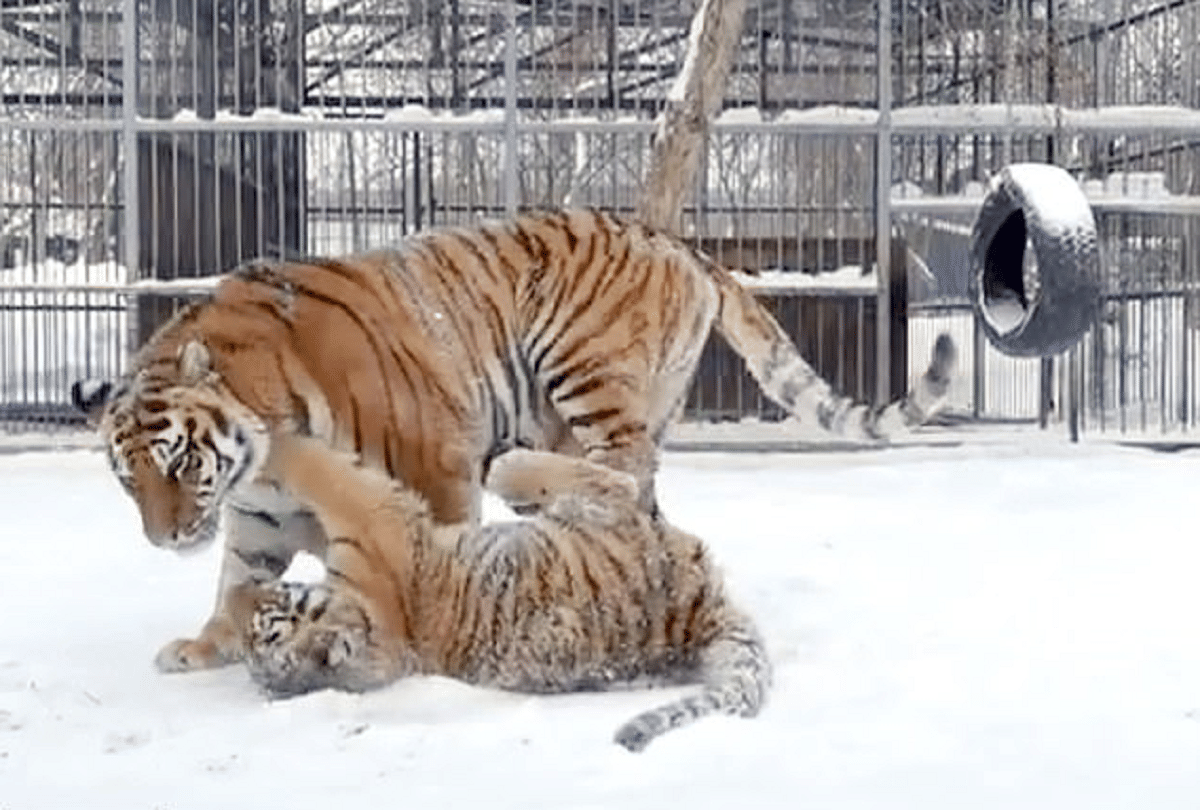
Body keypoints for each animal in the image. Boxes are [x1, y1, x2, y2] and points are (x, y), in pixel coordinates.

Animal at [71, 208, 956, 674]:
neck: (253, 467)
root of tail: (677, 240)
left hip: (585, 373)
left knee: (623, 476)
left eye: (180, 460)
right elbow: (235, 581)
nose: (164, 538)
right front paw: (203, 646)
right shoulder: (256, 517)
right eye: (127, 479)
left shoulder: (431, 467)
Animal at [228, 431, 769, 752]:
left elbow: (312, 467)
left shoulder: (368, 520)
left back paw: (508, 463)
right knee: (612, 482)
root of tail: (705, 619)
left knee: (607, 480)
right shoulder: (372, 519)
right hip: (602, 521)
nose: (237, 598)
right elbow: (314, 466)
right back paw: (511, 464)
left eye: (272, 609)